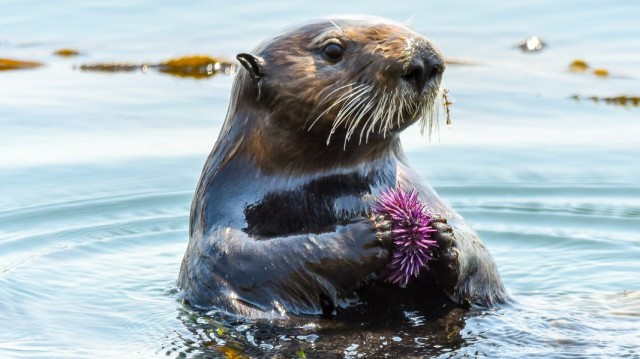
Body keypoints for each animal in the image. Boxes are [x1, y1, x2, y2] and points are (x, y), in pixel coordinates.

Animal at [178, 15, 508, 320]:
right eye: (333, 50)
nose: (425, 61)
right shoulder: (221, 222)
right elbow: (247, 257)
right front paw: (371, 232)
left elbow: (480, 256)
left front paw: (441, 234)